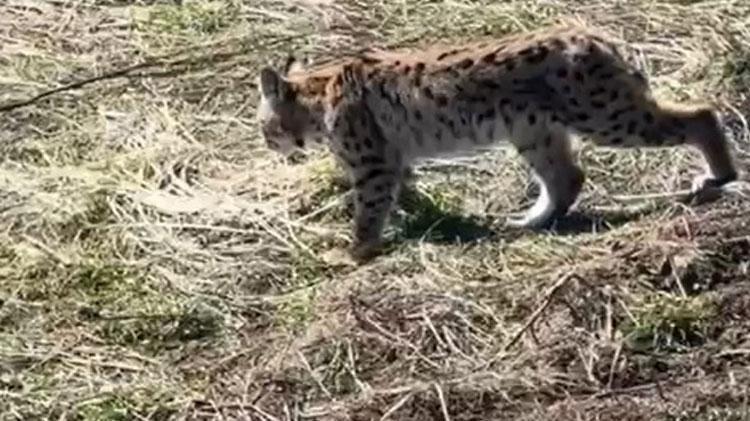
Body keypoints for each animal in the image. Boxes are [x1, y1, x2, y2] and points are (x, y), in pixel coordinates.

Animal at [255, 23, 738, 262]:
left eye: (263, 127)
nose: (269, 145)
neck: (318, 93)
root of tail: (600, 38)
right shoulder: (392, 157)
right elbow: (402, 194)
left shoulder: (373, 164)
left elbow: (368, 210)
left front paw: (353, 253)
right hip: (534, 131)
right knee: (568, 177)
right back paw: (529, 223)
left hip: (603, 116)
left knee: (702, 113)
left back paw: (718, 176)